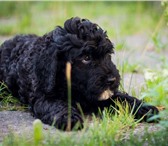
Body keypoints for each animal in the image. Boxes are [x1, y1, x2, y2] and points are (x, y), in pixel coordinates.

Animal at [0, 17, 158, 130]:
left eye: (108, 55)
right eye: (86, 58)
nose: (112, 80)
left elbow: (121, 98)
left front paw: (144, 108)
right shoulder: (43, 96)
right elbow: (57, 105)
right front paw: (69, 118)